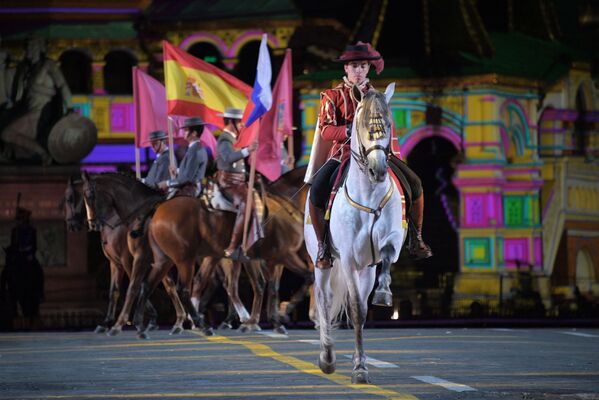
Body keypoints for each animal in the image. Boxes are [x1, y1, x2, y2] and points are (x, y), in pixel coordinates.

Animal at [76, 173, 188, 336]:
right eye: (83, 196)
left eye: (90, 195)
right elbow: (115, 290)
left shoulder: (133, 260)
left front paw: (135, 321)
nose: (93, 224)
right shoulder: (116, 263)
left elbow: (135, 286)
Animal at [304, 82, 408, 384]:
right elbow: (355, 310)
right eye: (361, 125)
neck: (369, 195)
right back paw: (326, 357)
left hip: (365, 269)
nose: (378, 169)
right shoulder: (348, 259)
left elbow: (387, 257)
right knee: (324, 298)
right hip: (323, 262)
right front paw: (356, 367)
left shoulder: (385, 246)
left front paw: (384, 294)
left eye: (388, 123)